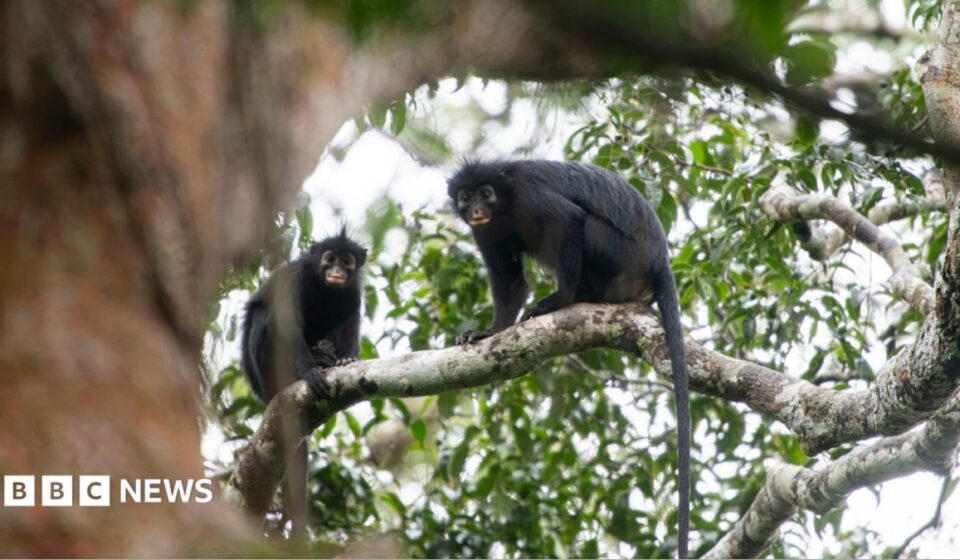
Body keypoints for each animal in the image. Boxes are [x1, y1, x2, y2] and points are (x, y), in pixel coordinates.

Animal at [240, 227, 366, 536]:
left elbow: (351, 319)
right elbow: (287, 326)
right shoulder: (294, 279)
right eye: (329, 257)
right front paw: (310, 373)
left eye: (347, 261)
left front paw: (345, 360)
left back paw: (326, 356)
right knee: (264, 315)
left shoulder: (353, 291)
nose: (337, 270)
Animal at [448, 159, 691, 558]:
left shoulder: (529, 194)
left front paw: (560, 299)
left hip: (619, 254)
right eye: (466, 198)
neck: (506, 202)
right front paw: (489, 332)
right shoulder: (485, 231)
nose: (477, 209)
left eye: (486, 193)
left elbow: (568, 220)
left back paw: (577, 296)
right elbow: (510, 282)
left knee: (585, 225)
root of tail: (659, 260)